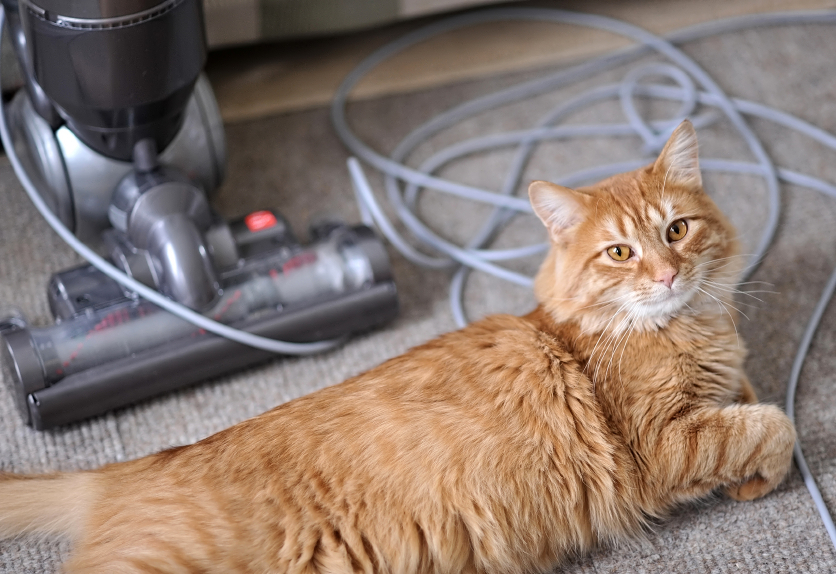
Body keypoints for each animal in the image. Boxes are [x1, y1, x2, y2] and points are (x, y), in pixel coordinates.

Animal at [0, 119, 796, 572]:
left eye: (676, 230)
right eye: (621, 253)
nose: (666, 274)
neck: (689, 327)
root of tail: (130, 470)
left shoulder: (720, 388)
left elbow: (752, 398)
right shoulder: (660, 443)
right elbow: (772, 426)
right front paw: (761, 474)